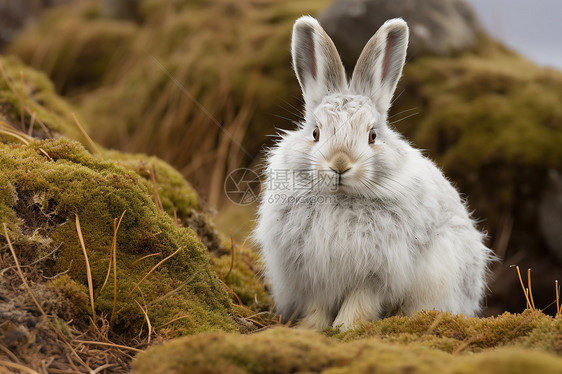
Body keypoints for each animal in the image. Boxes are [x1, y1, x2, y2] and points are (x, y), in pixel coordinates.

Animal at [252, 15, 492, 330]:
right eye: (315, 133)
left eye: (373, 135)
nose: (340, 164)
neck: (340, 198)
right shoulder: (313, 274)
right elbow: (317, 305)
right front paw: (310, 328)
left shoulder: (376, 274)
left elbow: (360, 303)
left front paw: (345, 329)